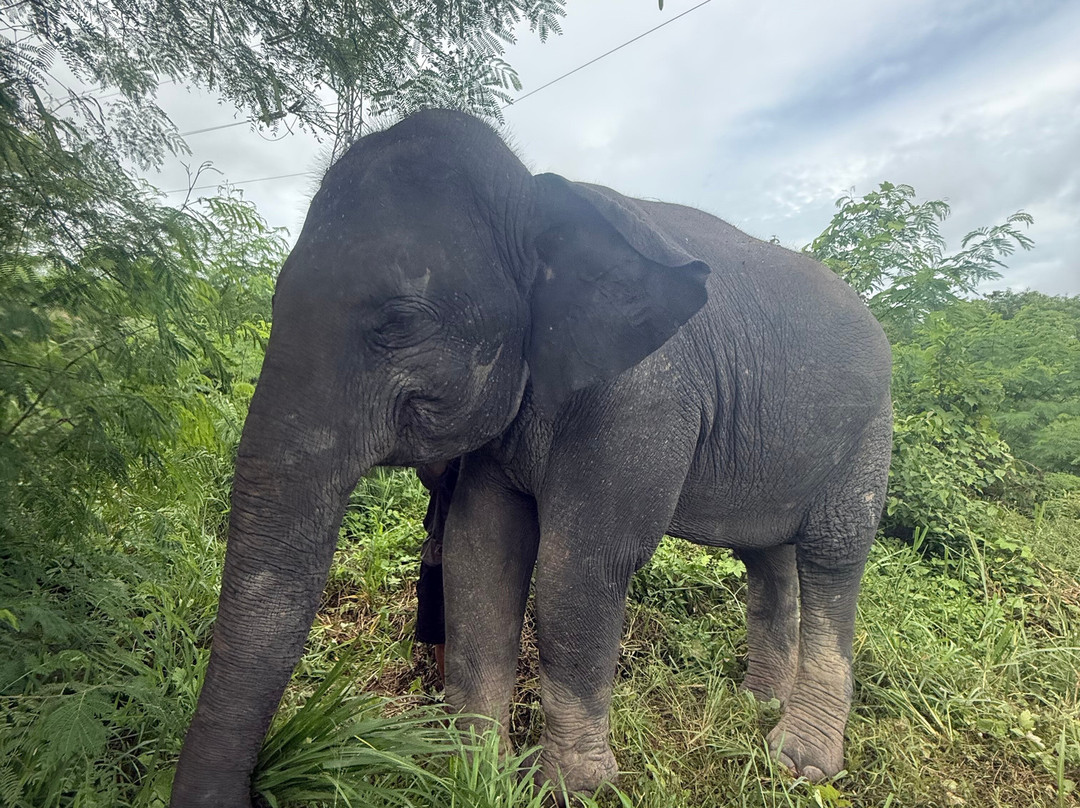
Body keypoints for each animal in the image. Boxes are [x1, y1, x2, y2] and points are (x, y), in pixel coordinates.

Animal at [170, 109, 892, 807]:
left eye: (400, 321)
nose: (253, 792)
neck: (538, 196)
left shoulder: (645, 398)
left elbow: (580, 565)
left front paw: (574, 790)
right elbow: (480, 551)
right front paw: (473, 772)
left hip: (871, 426)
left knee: (833, 554)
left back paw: (798, 760)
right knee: (768, 558)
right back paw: (757, 703)